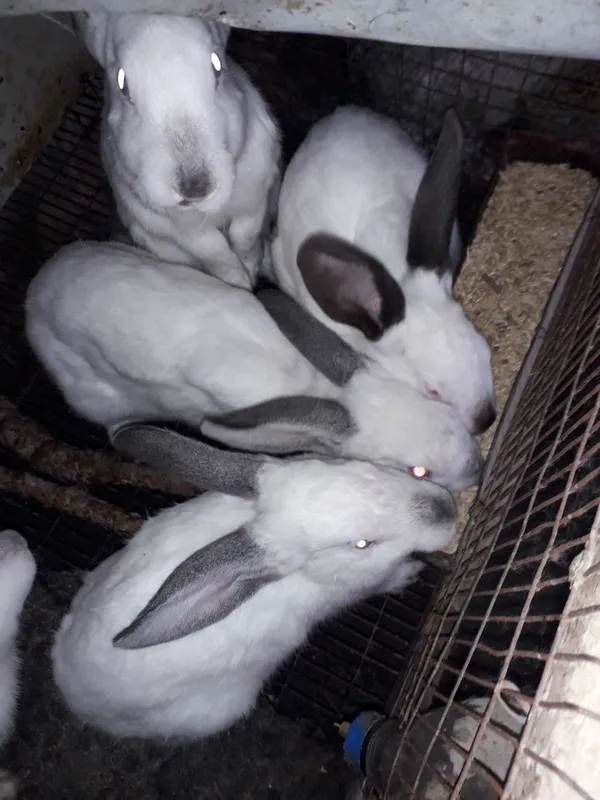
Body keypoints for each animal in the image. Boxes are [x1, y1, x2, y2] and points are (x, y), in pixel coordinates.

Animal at [76, 12, 281, 290]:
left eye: (218, 66)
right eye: (121, 84)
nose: (194, 188)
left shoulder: (257, 197)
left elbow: (245, 236)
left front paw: (251, 270)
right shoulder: (178, 228)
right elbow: (215, 252)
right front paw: (240, 282)